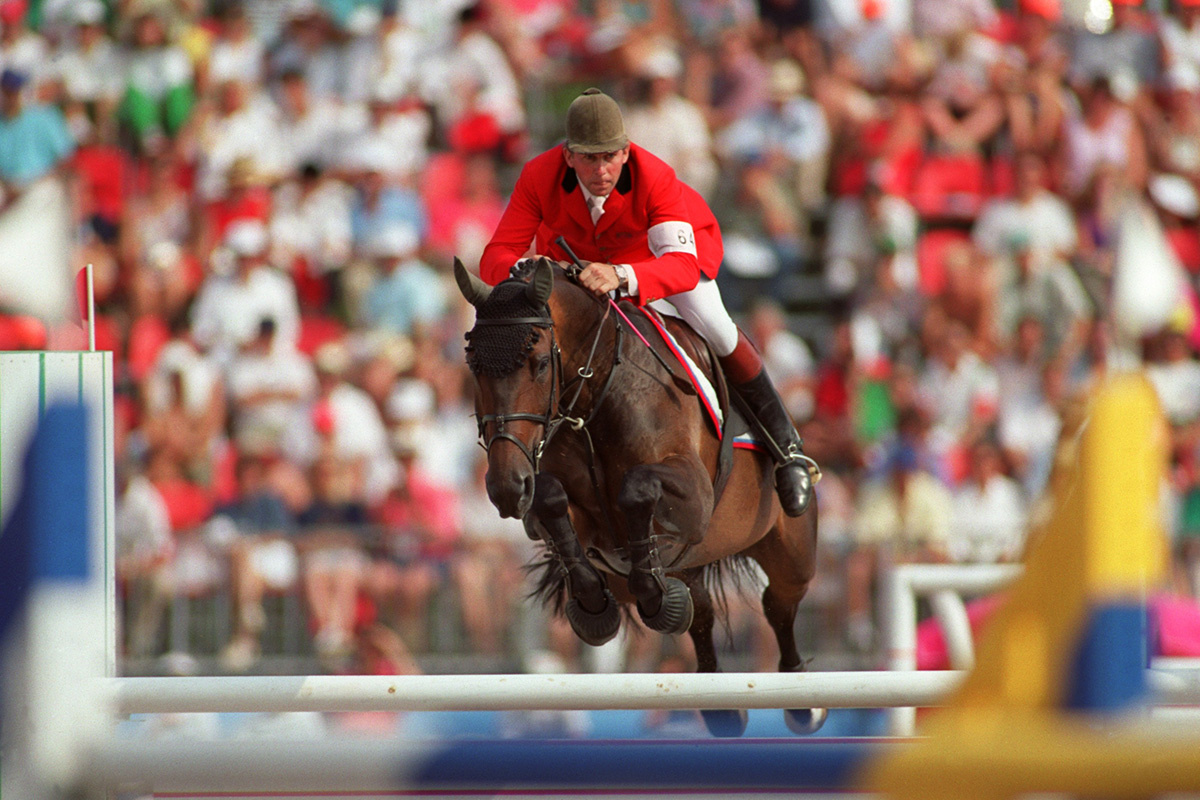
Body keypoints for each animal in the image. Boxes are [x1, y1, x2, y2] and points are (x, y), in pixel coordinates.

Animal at [456, 257, 825, 738]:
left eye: (537, 364)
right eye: (473, 364)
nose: (505, 487)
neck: (595, 394)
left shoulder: (696, 498)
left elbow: (637, 489)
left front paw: (650, 592)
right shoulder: (557, 509)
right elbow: (551, 499)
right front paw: (593, 606)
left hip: (791, 554)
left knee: (778, 605)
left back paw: (804, 700)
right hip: (679, 569)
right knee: (701, 611)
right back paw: (720, 703)